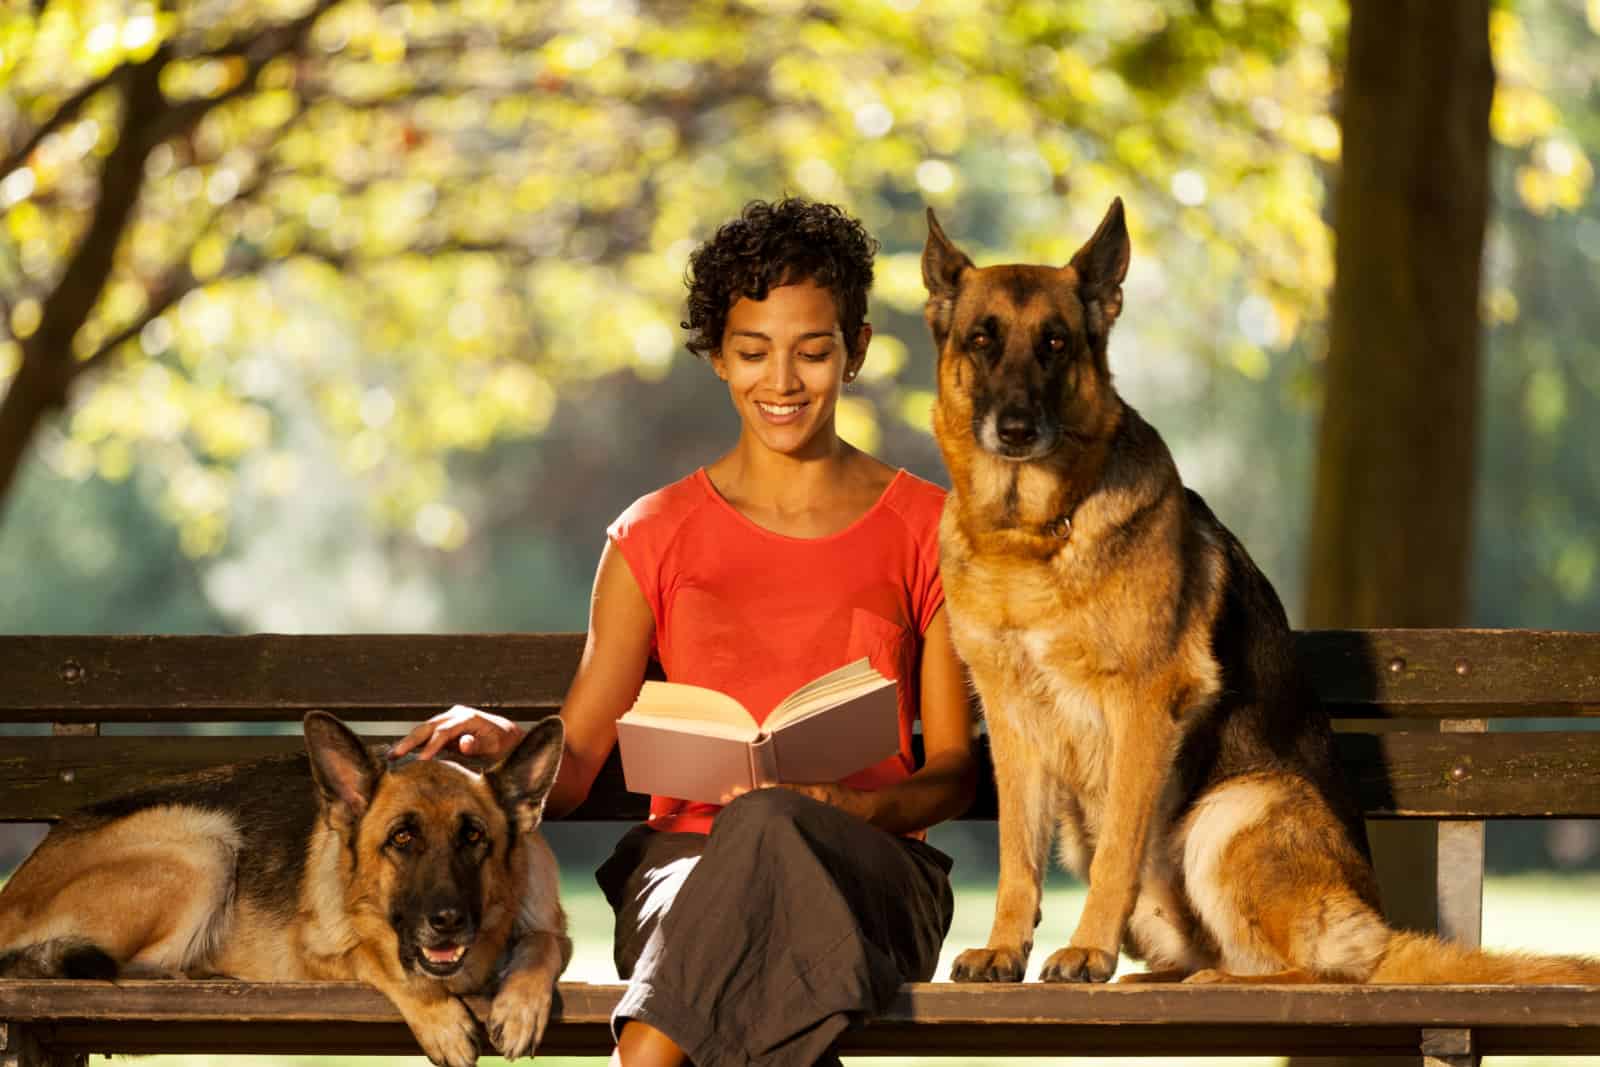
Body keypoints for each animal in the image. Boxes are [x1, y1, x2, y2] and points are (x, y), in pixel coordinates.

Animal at [0, 713, 576, 1062]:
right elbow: (379, 960)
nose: (448, 921)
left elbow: (543, 944)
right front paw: (440, 1019)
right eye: (402, 838)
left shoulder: (550, 929)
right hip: (206, 841)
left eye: (474, 837)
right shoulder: (317, 954)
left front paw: (520, 1007)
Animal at [921, 199, 1600, 985]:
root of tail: (1376, 924)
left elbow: (1119, 850)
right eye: (983, 340)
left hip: (1231, 810)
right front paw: (1005, 947)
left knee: (1323, 970)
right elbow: (1016, 857)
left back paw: (1215, 979)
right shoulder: (1012, 721)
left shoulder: (1143, 705)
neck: (1031, 537)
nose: (1016, 428)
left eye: (1055, 344)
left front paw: (1087, 947)